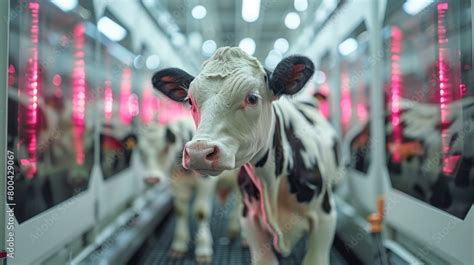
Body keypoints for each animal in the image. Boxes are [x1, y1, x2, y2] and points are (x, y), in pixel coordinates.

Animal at [136, 117, 241, 262]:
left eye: (165, 149)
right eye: (141, 152)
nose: (152, 179)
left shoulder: (205, 182)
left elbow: (201, 212)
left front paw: (203, 248)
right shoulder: (178, 185)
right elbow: (180, 211)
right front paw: (179, 245)